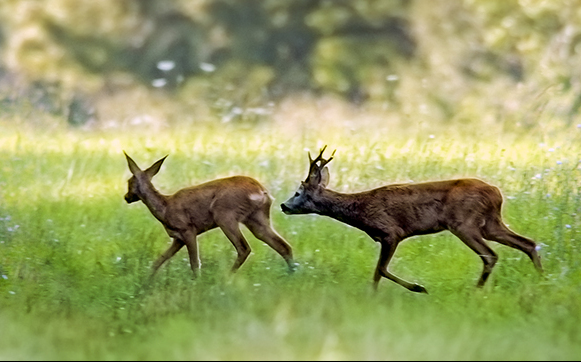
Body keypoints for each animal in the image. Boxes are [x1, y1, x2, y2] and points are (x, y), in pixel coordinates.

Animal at [123, 152, 294, 278]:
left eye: (129, 182)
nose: (126, 197)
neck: (165, 207)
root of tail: (262, 191)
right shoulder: (178, 238)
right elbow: (159, 260)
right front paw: (147, 280)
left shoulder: (188, 230)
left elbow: (194, 262)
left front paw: (196, 282)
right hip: (256, 218)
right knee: (284, 246)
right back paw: (292, 274)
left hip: (225, 215)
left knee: (244, 248)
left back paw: (227, 277)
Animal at [280, 147, 544, 294]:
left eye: (298, 192)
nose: (283, 206)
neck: (361, 210)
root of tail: (496, 193)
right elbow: (377, 272)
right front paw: (373, 295)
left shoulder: (391, 232)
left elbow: (380, 269)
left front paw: (419, 288)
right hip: (490, 223)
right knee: (528, 243)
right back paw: (542, 280)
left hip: (465, 223)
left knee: (490, 255)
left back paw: (475, 291)